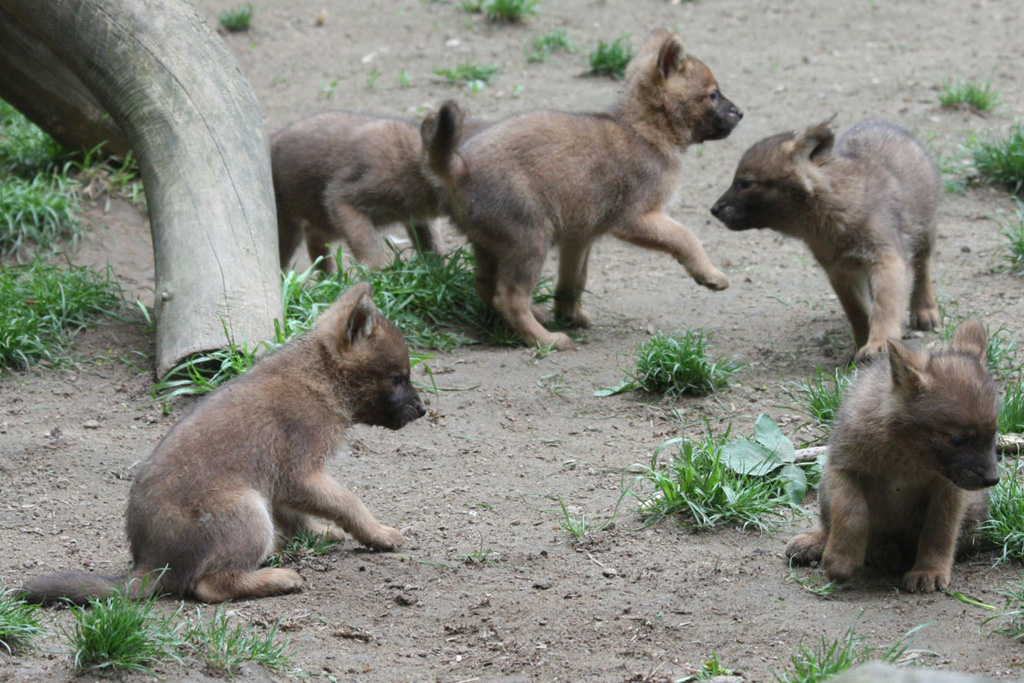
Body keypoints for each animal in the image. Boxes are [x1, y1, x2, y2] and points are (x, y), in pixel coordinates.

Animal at [22, 282, 425, 602]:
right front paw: (379, 534)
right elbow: (349, 501)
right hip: (246, 510)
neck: (320, 375)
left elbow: (300, 516)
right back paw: (278, 578)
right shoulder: (301, 473)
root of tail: (151, 564)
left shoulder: (281, 485)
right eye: (398, 378)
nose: (423, 410)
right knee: (209, 585)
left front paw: (319, 533)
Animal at [272, 111, 487, 270]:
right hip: (290, 226)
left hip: (324, 221)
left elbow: (435, 250)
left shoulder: (419, 220)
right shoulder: (341, 198)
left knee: (314, 239)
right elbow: (369, 250)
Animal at [419, 28, 741, 350]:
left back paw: (539, 316)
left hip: (489, 244)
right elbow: (686, 237)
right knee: (509, 298)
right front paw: (710, 275)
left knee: (486, 287)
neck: (644, 128)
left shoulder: (579, 238)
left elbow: (573, 281)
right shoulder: (637, 218)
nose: (741, 113)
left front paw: (569, 315)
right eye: (713, 94)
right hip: (530, 240)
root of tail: (458, 168)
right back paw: (547, 340)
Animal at [712, 119, 937, 360]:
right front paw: (859, 346)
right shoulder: (839, 271)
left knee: (922, 270)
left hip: (924, 233)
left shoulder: (887, 259)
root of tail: (883, 123)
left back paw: (925, 312)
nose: (714, 209)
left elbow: (885, 306)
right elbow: (857, 312)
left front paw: (878, 344)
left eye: (745, 183)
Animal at [782, 321, 999, 593]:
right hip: (824, 486)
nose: (993, 480)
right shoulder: (842, 467)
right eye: (958, 439)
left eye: (995, 433)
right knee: (832, 525)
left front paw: (929, 571)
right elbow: (851, 513)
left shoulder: (948, 490)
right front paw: (841, 559)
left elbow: (939, 530)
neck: (905, 455)